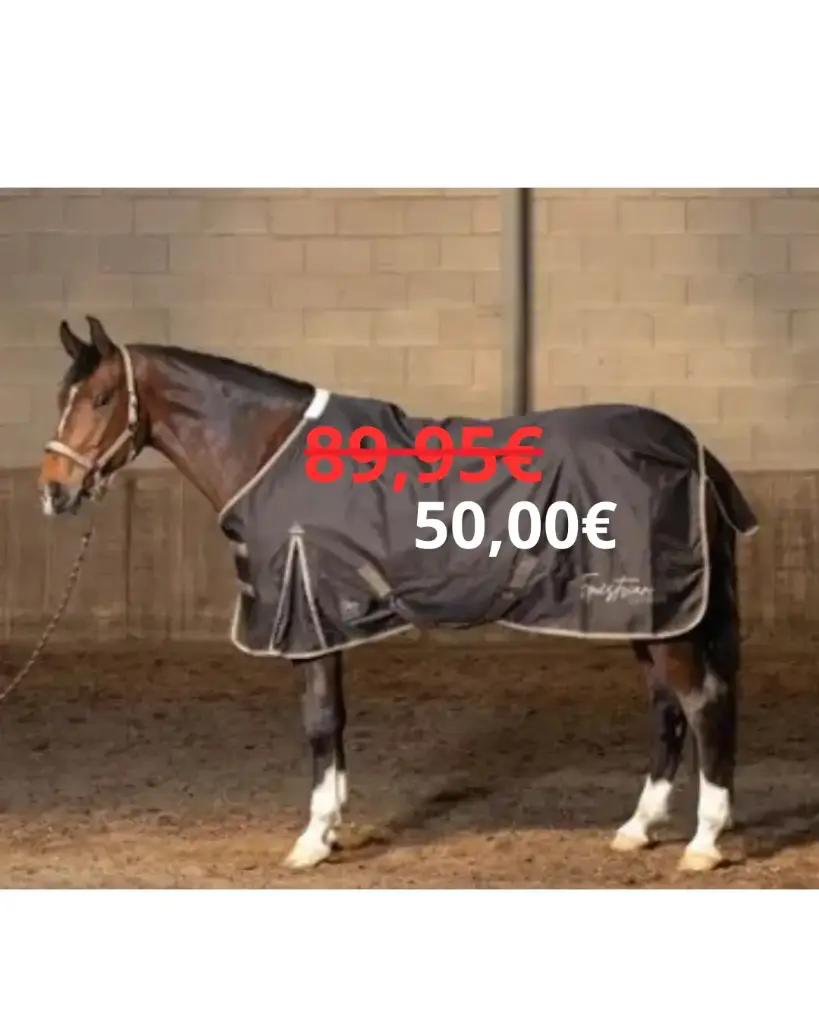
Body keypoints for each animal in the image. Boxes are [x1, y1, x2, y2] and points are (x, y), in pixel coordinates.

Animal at [38, 315, 758, 874]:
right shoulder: (325, 620)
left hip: (665, 617)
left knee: (701, 705)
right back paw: (637, 829)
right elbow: (334, 725)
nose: (53, 490)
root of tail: (692, 450)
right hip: (643, 613)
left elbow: (319, 723)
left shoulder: (310, 621)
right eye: (62, 396)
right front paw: (329, 829)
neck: (270, 452)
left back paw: (702, 843)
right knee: (666, 710)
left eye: (102, 398)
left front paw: (311, 840)